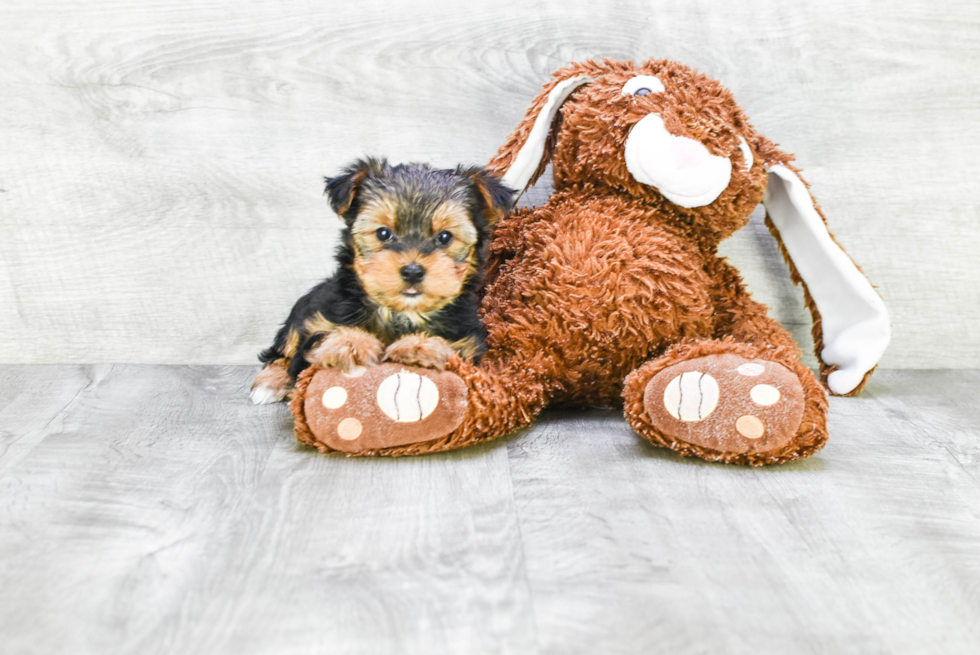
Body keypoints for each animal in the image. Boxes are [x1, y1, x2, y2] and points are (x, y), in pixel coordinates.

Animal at [251, 159, 512, 404]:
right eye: (383, 233)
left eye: (445, 237)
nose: (413, 271)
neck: (400, 313)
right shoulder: (316, 327)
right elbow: (314, 346)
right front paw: (349, 343)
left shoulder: (471, 346)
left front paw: (419, 346)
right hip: (302, 311)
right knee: (281, 352)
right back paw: (269, 383)